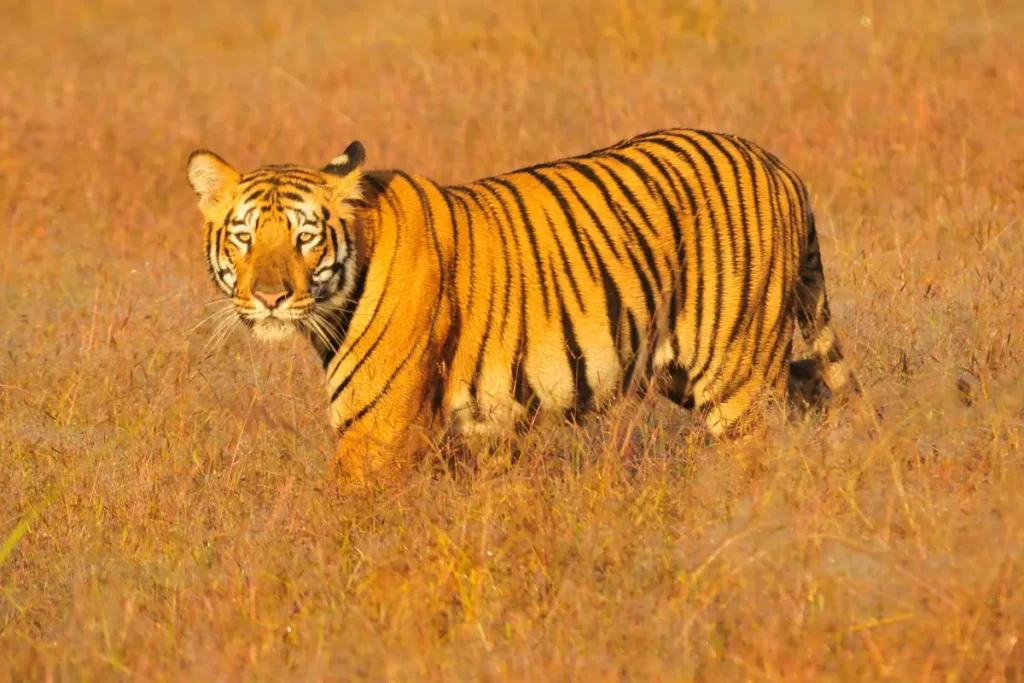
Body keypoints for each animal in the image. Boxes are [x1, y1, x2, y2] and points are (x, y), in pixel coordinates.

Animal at [186, 128, 856, 483]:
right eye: (245, 237)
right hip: (695, 367)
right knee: (812, 387)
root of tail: (778, 164)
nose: (271, 297)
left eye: (305, 236)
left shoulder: (377, 431)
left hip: (735, 374)